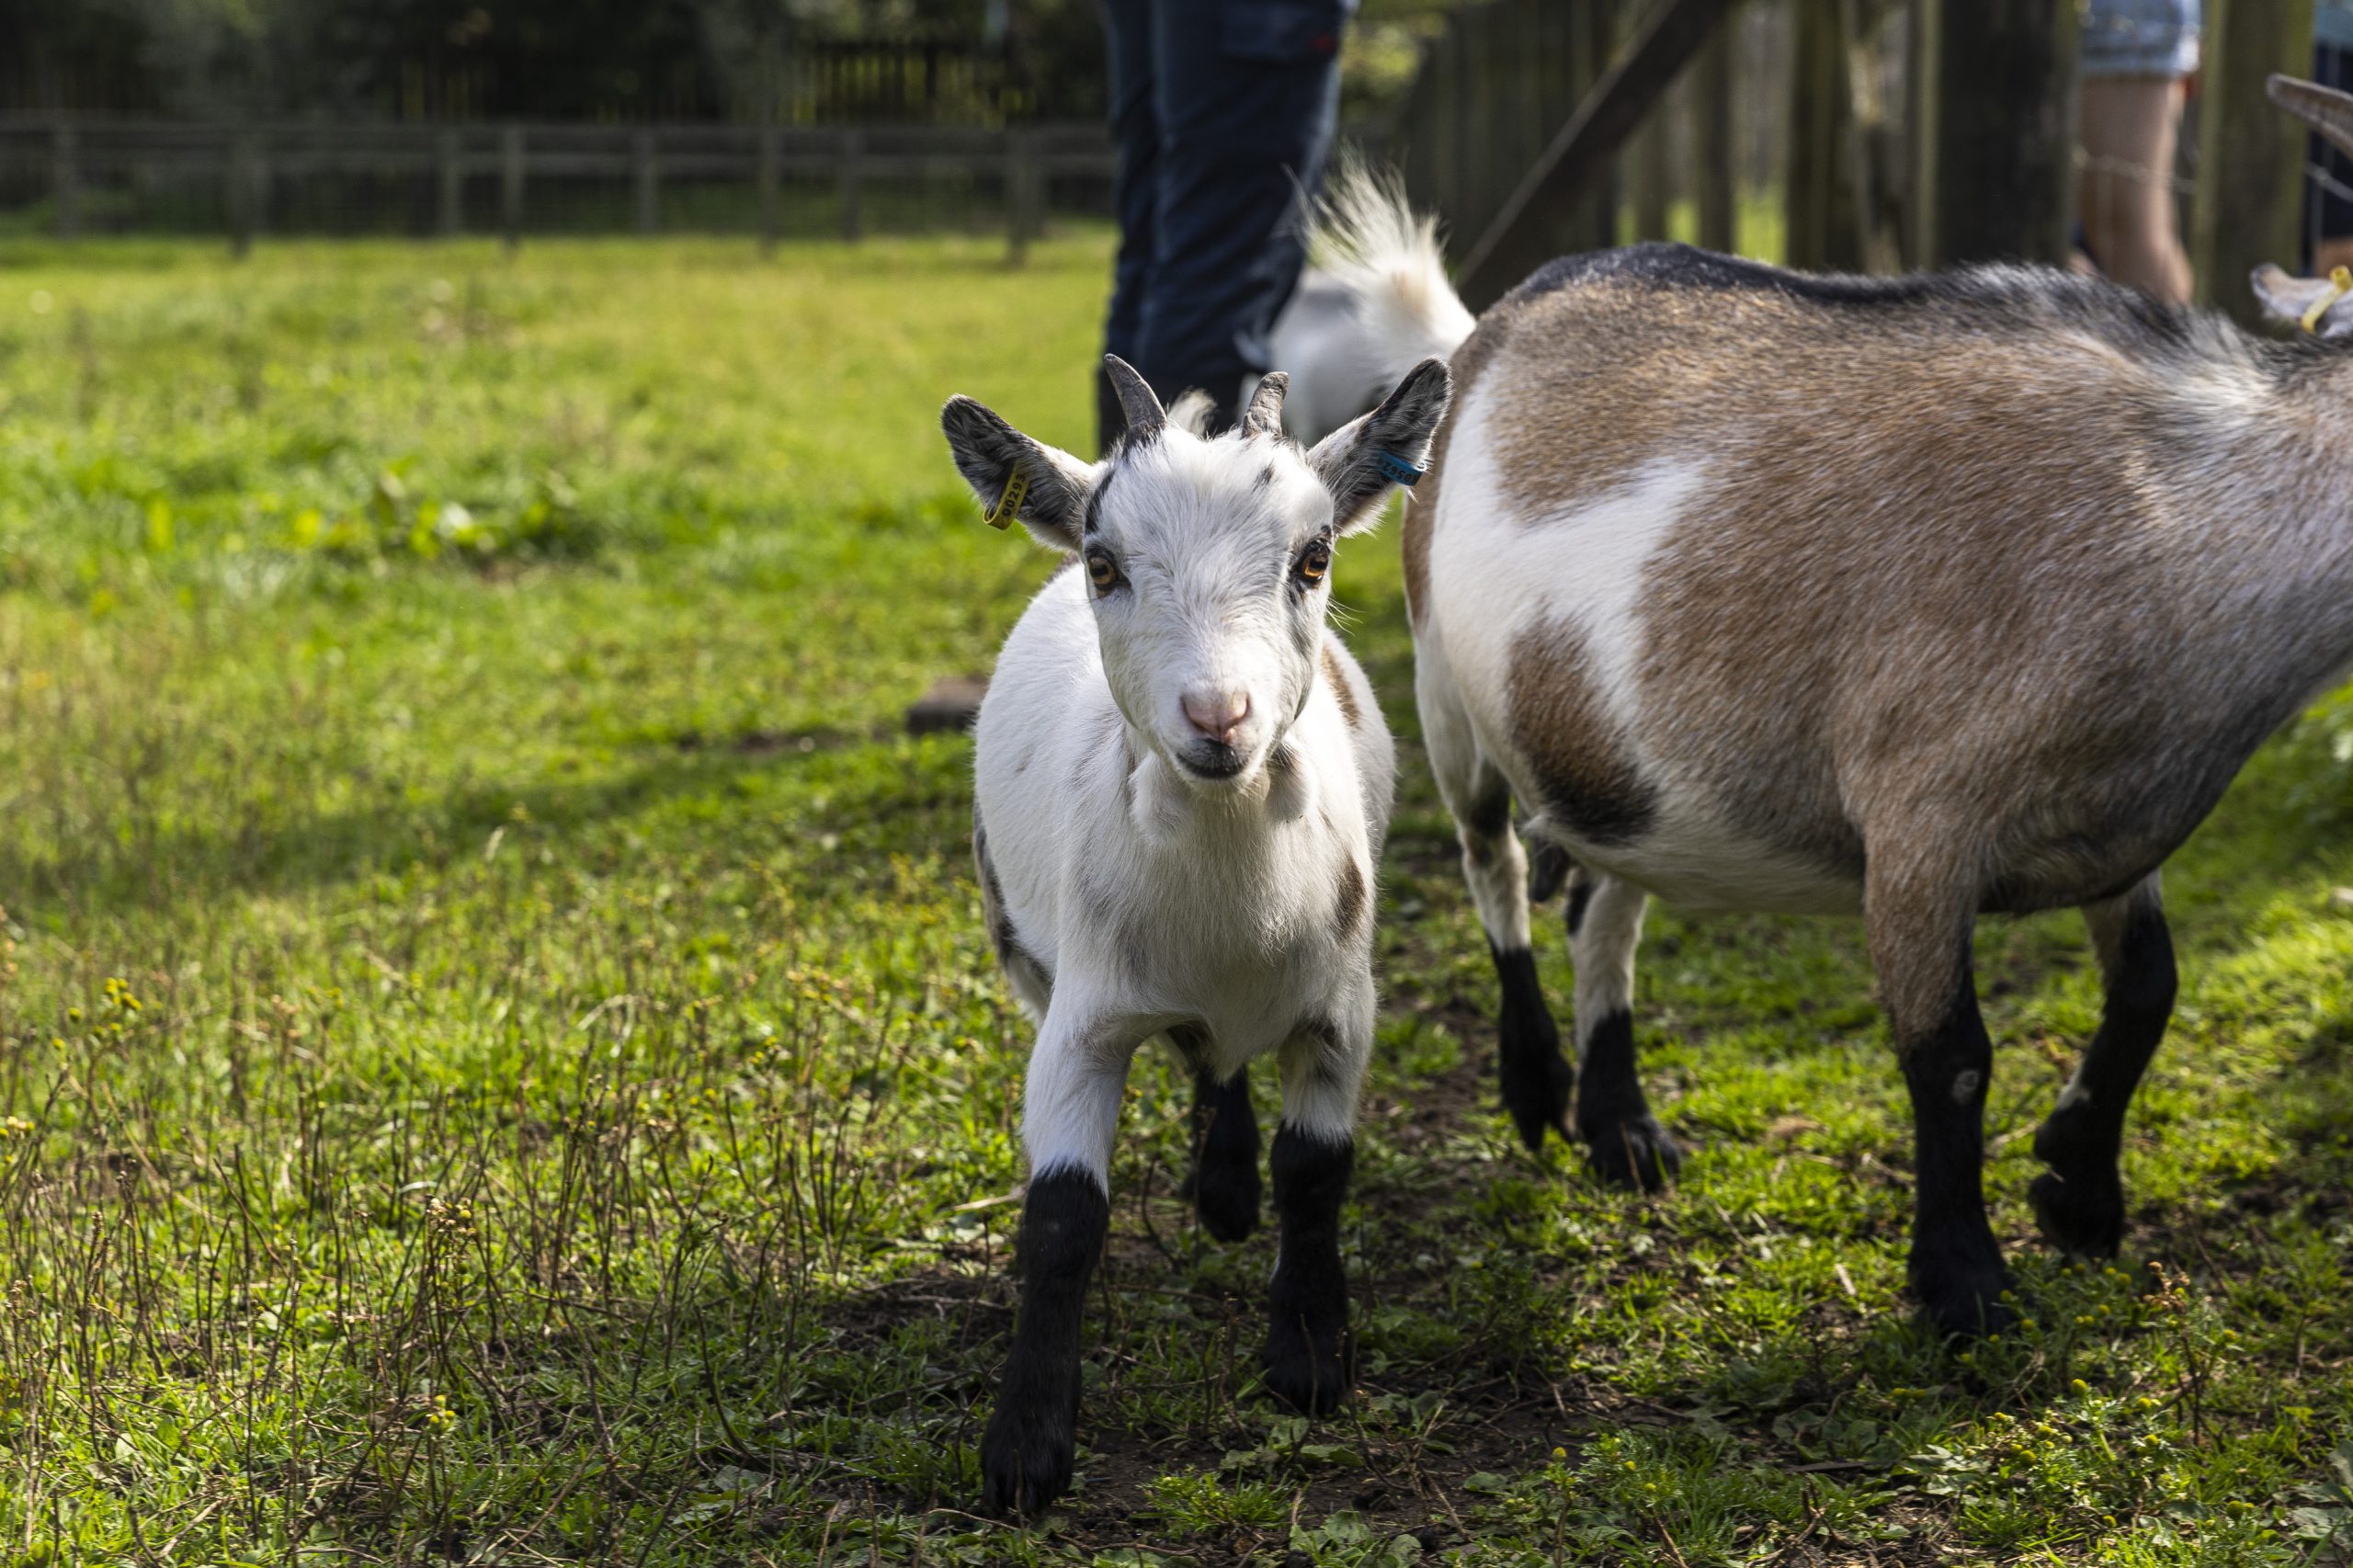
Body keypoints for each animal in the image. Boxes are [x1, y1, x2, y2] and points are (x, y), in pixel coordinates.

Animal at [941, 353, 1450, 1511]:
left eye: (1313, 556)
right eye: (1104, 563)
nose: (1218, 718)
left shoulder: (1342, 1009)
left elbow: (1315, 1167)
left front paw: (1308, 1357)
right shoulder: (1080, 1020)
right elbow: (1062, 1216)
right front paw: (1024, 1445)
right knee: (1201, 1055)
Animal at [1282, 76, 2353, 1337]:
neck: (2181, 512)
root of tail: (1483, 329)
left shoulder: (2111, 822)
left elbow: (2148, 990)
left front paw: (2078, 1191)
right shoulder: (1920, 821)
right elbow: (1950, 1053)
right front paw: (1964, 1280)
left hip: (1613, 755)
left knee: (1604, 901)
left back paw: (1621, 1123)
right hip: (1449, 697)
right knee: (1491, 865)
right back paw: (1539, 1084)